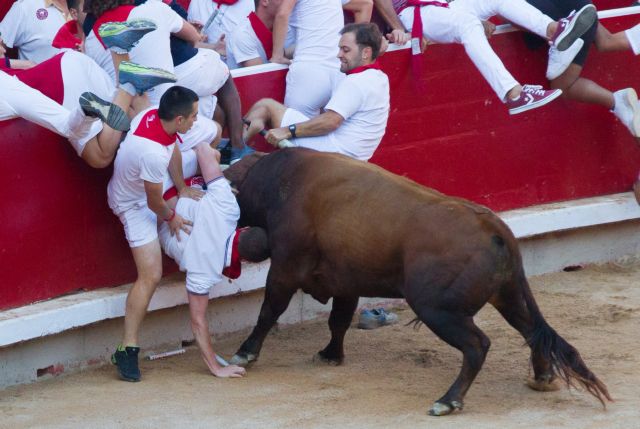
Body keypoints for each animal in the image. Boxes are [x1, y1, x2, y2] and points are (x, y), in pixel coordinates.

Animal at [224, 147, 608, 414]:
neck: (278, 180)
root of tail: (495, 228)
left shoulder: (285, 268)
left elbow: (269, 311)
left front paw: (245, 353)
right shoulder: (346, 280)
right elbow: (338, 321)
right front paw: (331, 355)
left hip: (436, 308)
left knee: (477, 344)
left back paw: (448, 401)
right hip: (508, 295)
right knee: (530, 331)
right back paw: (542, 379)